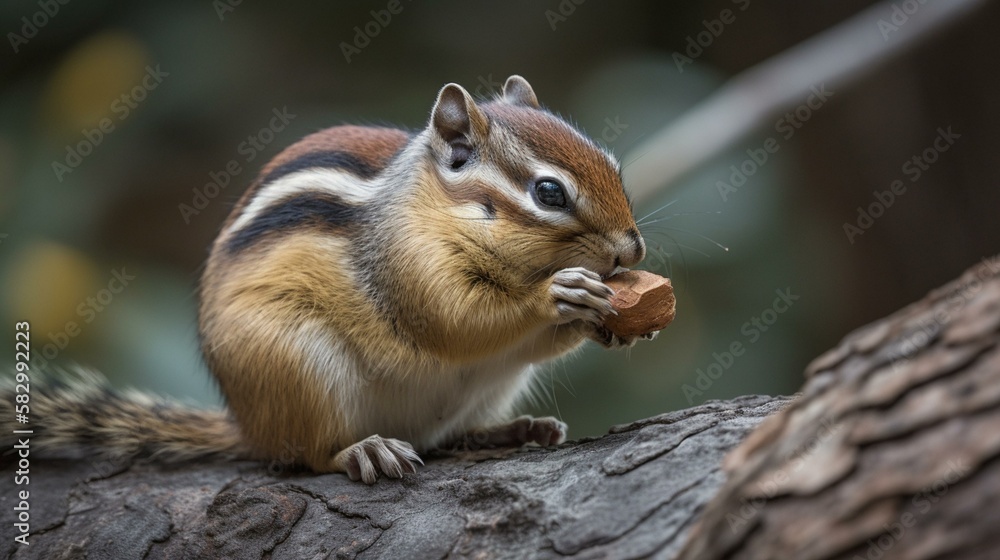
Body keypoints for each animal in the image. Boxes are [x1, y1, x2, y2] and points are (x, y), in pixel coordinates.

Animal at [3, 76, 648, 483]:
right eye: (549, 193)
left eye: (614, 167)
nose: (631, 250)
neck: (430, 207)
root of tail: (251, 428)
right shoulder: (406, 265)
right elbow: (455, 321)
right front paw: (558, 294)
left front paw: (607, 322)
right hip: (297, 362)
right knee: (312, 456)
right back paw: (364, 451)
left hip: (489, 388)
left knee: (447, 436)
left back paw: (512, 430)